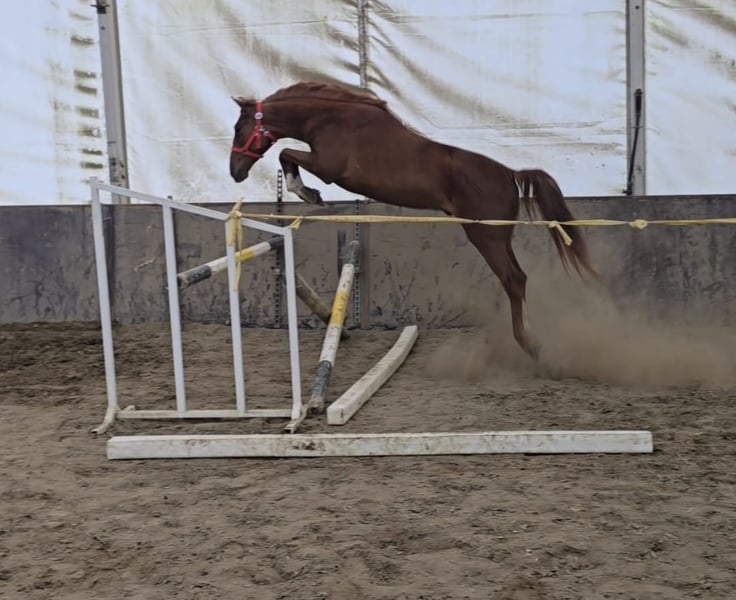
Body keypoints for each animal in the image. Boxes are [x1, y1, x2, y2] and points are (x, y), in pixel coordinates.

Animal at [229, 81, 597, 359]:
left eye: (238, 128)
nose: (235, 173)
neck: (331, 119)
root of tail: (510, 174)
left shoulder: (328, 166)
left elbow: (285, 154)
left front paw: (308, 193)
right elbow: (286, 155)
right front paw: (307, 193)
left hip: (484, 235)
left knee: (513, 280)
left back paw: (528, 344)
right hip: (498, 236)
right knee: (519, 278)